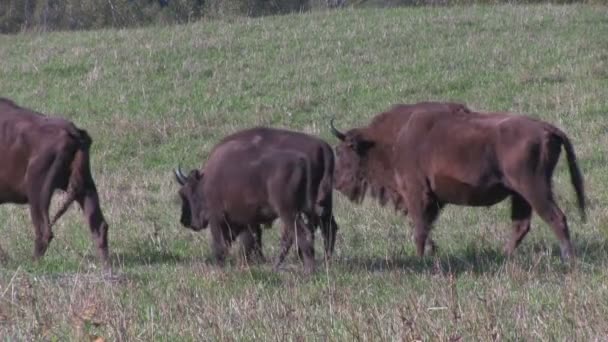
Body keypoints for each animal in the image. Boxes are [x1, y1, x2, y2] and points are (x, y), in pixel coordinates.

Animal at [0, 97, 110, 266]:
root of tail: (73, 132)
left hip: (37, 190)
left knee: (44, 231)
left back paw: (33, 264)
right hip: (85, 187)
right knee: (99, 226)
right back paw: (106, 265)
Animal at [175, 135, 318, 274]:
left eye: (186, 193)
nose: (185, 221)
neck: (205, 182)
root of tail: (301, 161)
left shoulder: (216, 218)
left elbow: (220, 245)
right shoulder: (245, 222)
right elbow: (244, 244)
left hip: (288, 212)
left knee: (301, 234)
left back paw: (308, 271)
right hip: (302, 212)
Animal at [330, 101, 588, 262]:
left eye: (341, 151)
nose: (336, 183)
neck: (392, 139)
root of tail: (547, 128)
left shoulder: (416, 193)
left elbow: (420, 228)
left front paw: (420, 258)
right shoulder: (430, 200)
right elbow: (425, 227)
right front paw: (432, 252)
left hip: (534, 189)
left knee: (556, 218)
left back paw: (568, 259)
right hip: (520, 195)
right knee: (521, 225)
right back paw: (504, 256)